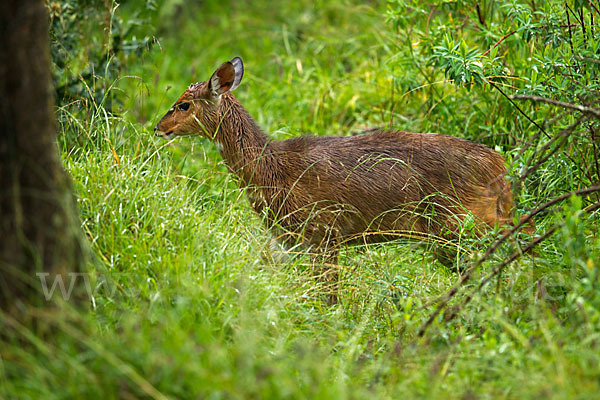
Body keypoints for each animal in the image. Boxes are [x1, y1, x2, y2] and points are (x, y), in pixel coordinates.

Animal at [155, 57, 520, 272]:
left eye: (183, 104)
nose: (158, 127)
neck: (273, 169)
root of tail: (500, 167)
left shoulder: (323, 232)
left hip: (463, 222)